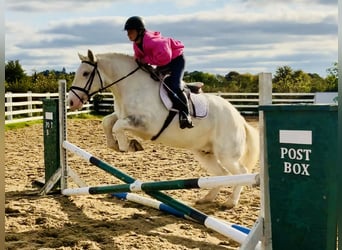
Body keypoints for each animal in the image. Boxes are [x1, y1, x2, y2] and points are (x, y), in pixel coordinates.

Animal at [67, 49, 260, 208]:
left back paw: (230, 202)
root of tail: (239, 118)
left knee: (241, 172)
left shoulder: (145, 123)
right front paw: (117, 145)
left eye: (85, 73)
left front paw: (128, 145)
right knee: (222, 174)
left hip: (227, 154)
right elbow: (108, 122)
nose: (71, 102)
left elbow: (117, 126)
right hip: (205, 153)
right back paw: (207, 198)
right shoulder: (124, 116)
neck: (131, 86)